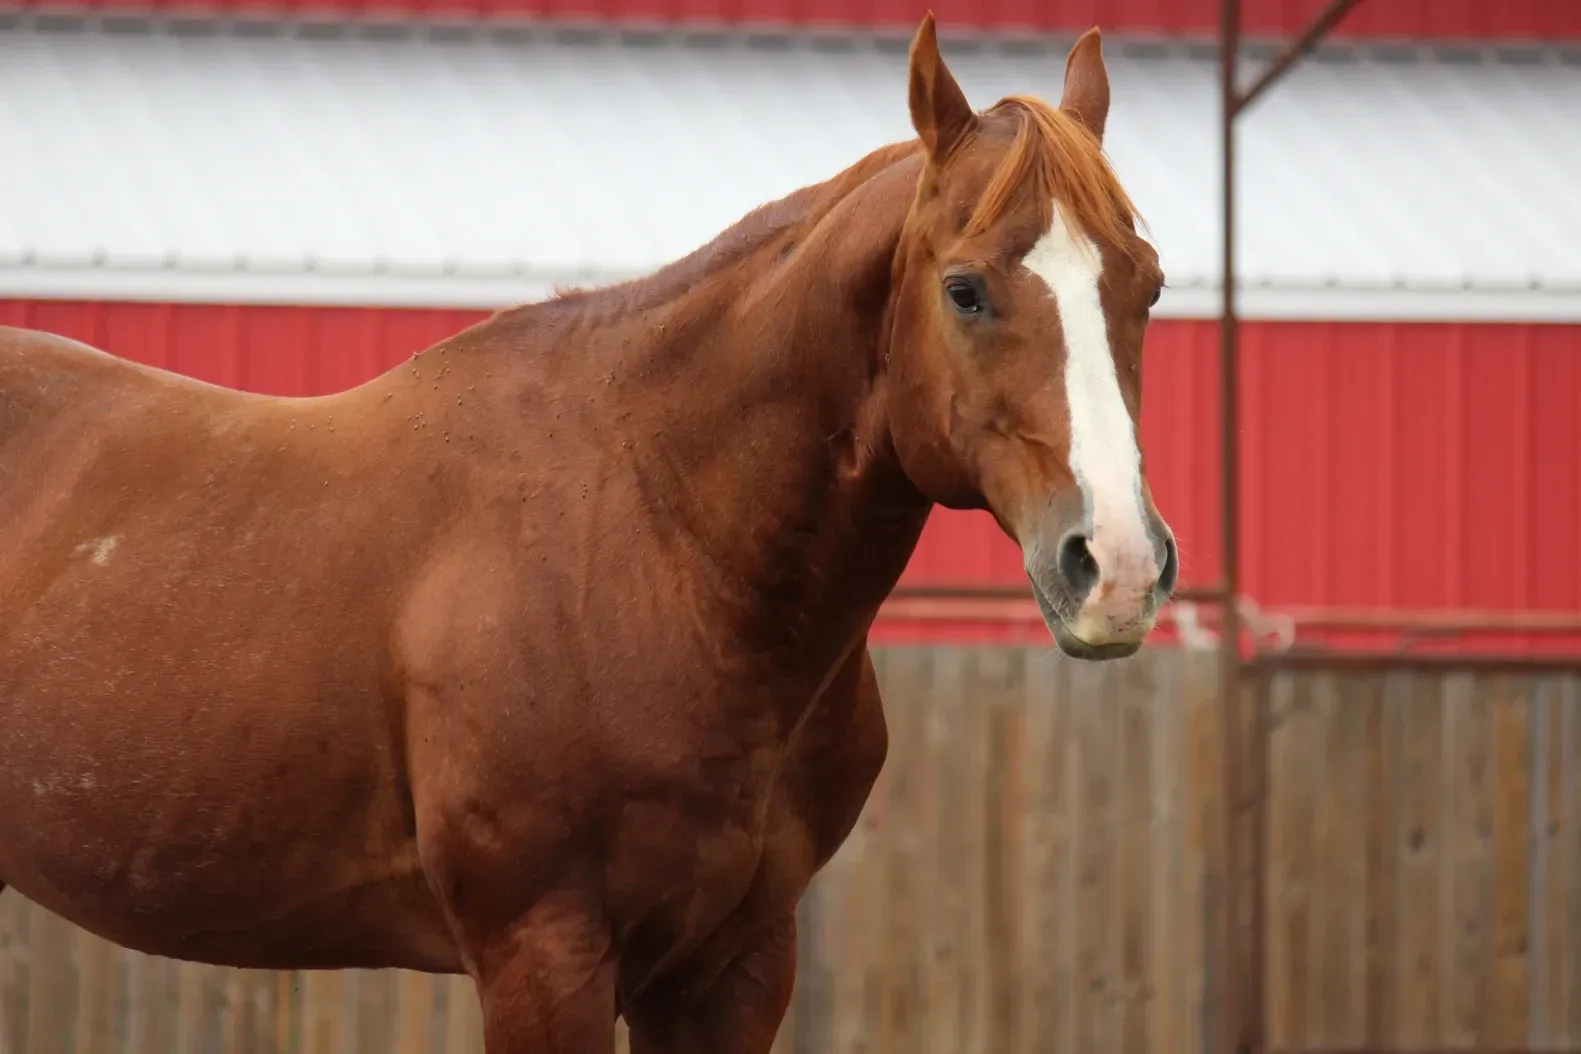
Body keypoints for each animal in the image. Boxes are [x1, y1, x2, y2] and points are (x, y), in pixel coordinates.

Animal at [0, 14, 1174, 1052]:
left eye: (1148, 286)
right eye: (965, 290)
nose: (1117, 565)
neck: (659, 539)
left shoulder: (732, 967)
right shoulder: (542, 955)